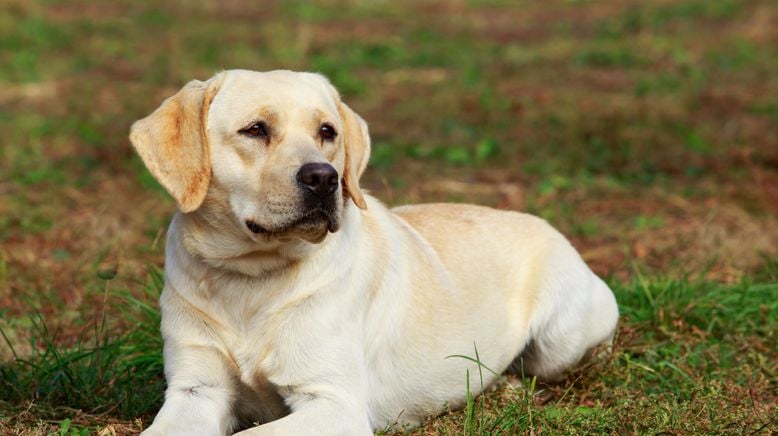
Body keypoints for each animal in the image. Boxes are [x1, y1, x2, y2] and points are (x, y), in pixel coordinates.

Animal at [132, 70, 620, 434]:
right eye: (255, 130)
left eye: (327, 132)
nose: (324, 178)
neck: (251, 278)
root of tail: (547, 225)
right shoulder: (195, 390)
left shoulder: (334, 404)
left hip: (561, 339)